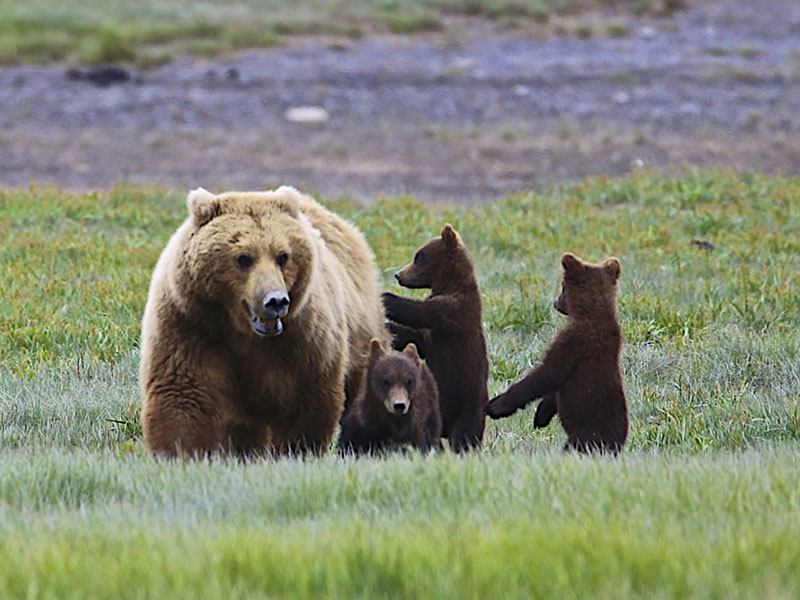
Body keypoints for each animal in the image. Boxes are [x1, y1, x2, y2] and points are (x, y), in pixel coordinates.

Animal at [140, 185, 388, 458]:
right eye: (243, 257)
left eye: (283, 256)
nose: (276, 300)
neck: (242, 332)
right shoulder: (190, 324)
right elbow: (183, 393)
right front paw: (182, 453)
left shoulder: (303, 336)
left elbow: (304, 399)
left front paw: (295, 450)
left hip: (362, 332)